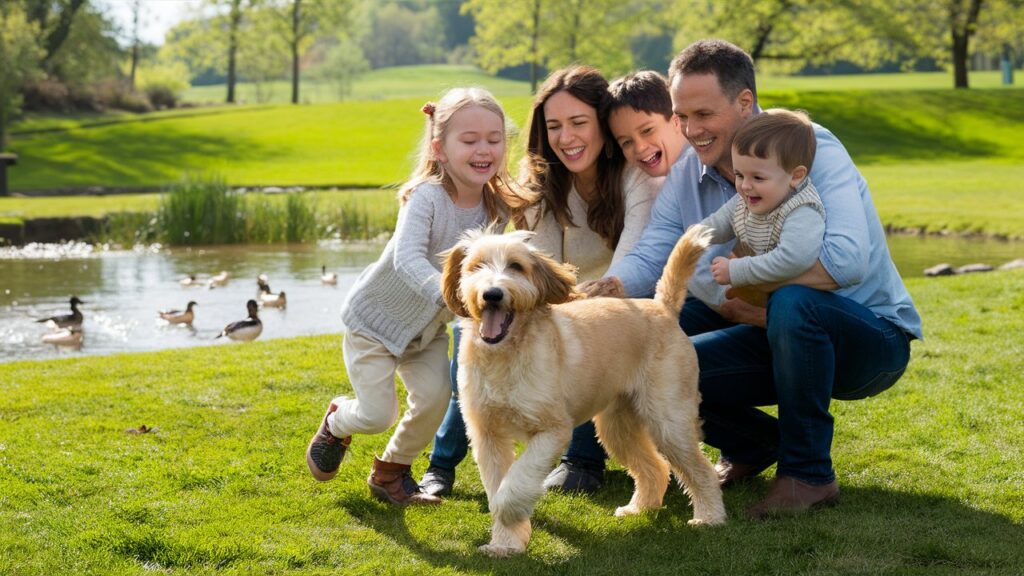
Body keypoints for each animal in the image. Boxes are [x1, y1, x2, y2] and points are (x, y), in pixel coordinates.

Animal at [442, 224, 729, 557]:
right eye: (476, 266)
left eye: (516, 266)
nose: (492, 294)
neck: (505, 357)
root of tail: (662, 307)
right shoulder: (487, 435)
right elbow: (498, 484)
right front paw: (506, 544)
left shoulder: (553, 431)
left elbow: (514, 484)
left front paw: (509, 515)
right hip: (617, 426)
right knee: (655, 467)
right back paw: (639, 510)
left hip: (669, 420)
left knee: (701, 470)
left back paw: (709, 518)